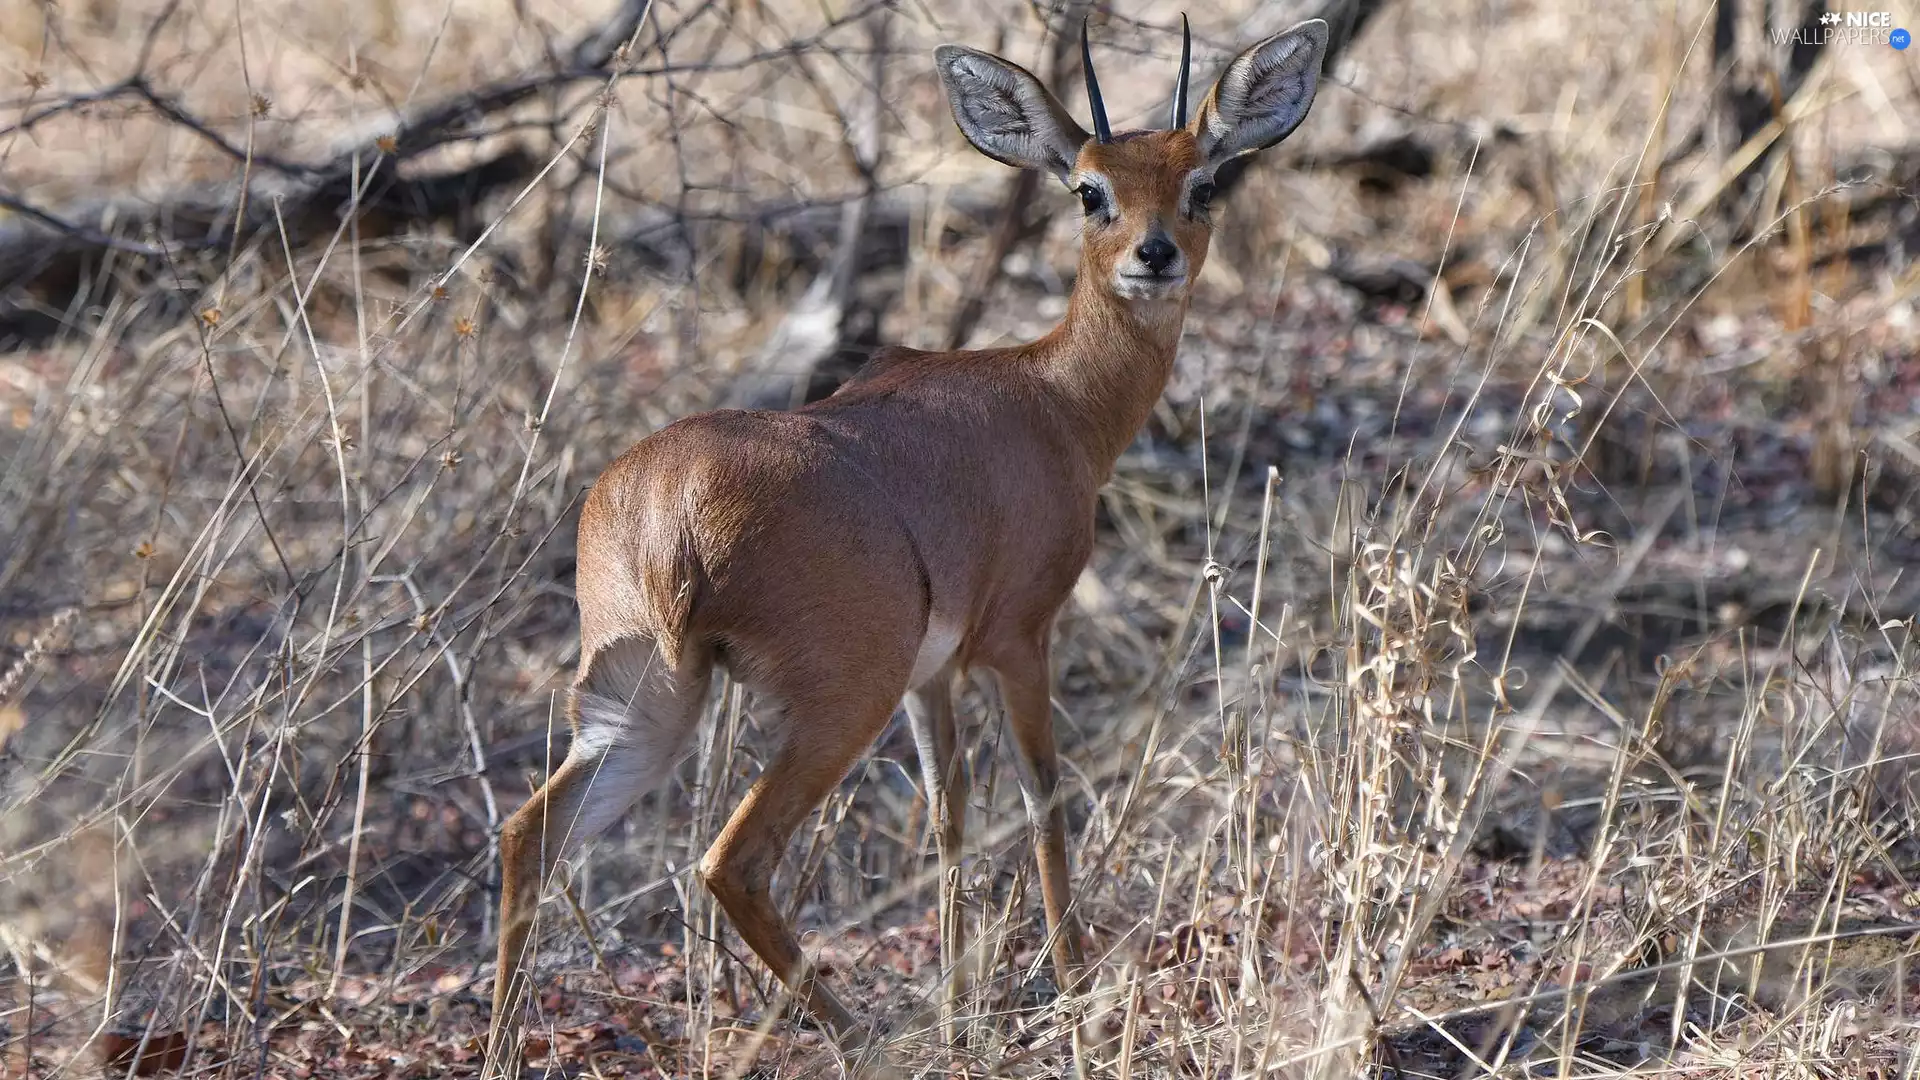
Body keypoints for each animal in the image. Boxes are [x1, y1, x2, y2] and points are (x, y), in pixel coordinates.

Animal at [486, 13, 1328, 1074]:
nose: (1155, 254)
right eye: (1088, 188)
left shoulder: (935, 676)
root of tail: (666, 509)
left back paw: (502, 1045)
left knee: (532, 833)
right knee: (728, 862)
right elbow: (1044, 798)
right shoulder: (1017, 640)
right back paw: (868, 1036)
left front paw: (966, 1007)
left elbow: (948, 810)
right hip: (838, 702)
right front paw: (1076, 1000)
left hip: (647, 698)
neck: (1052, 397)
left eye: (1202, 181)